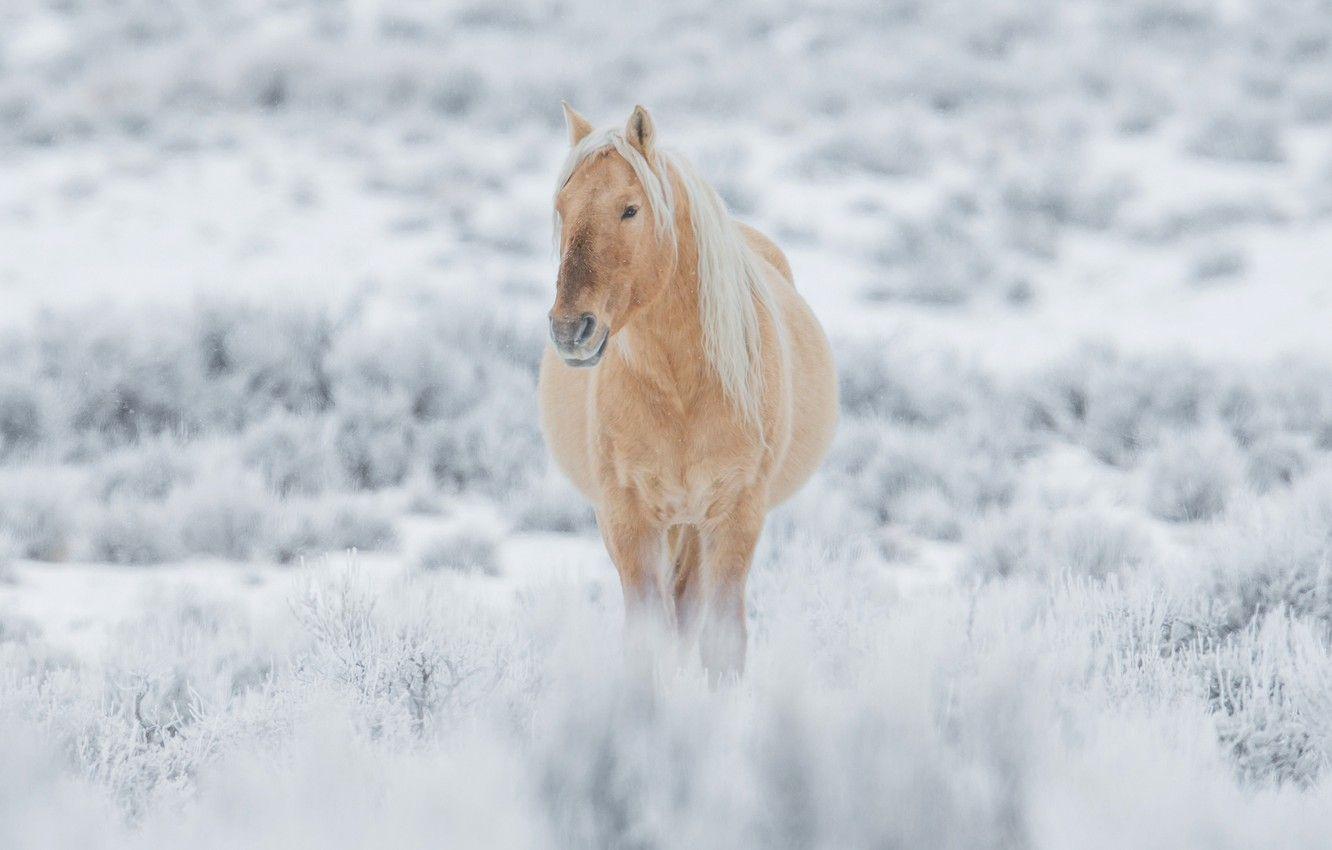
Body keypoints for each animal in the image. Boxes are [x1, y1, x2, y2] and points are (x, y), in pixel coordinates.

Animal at [539, 103, 838, 677]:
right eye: (561, 208)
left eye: (630, 209)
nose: (571, 330)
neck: (682, 391)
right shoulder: (627, 518)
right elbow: (645, 639)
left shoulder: (735, 514)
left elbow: (722, 640)